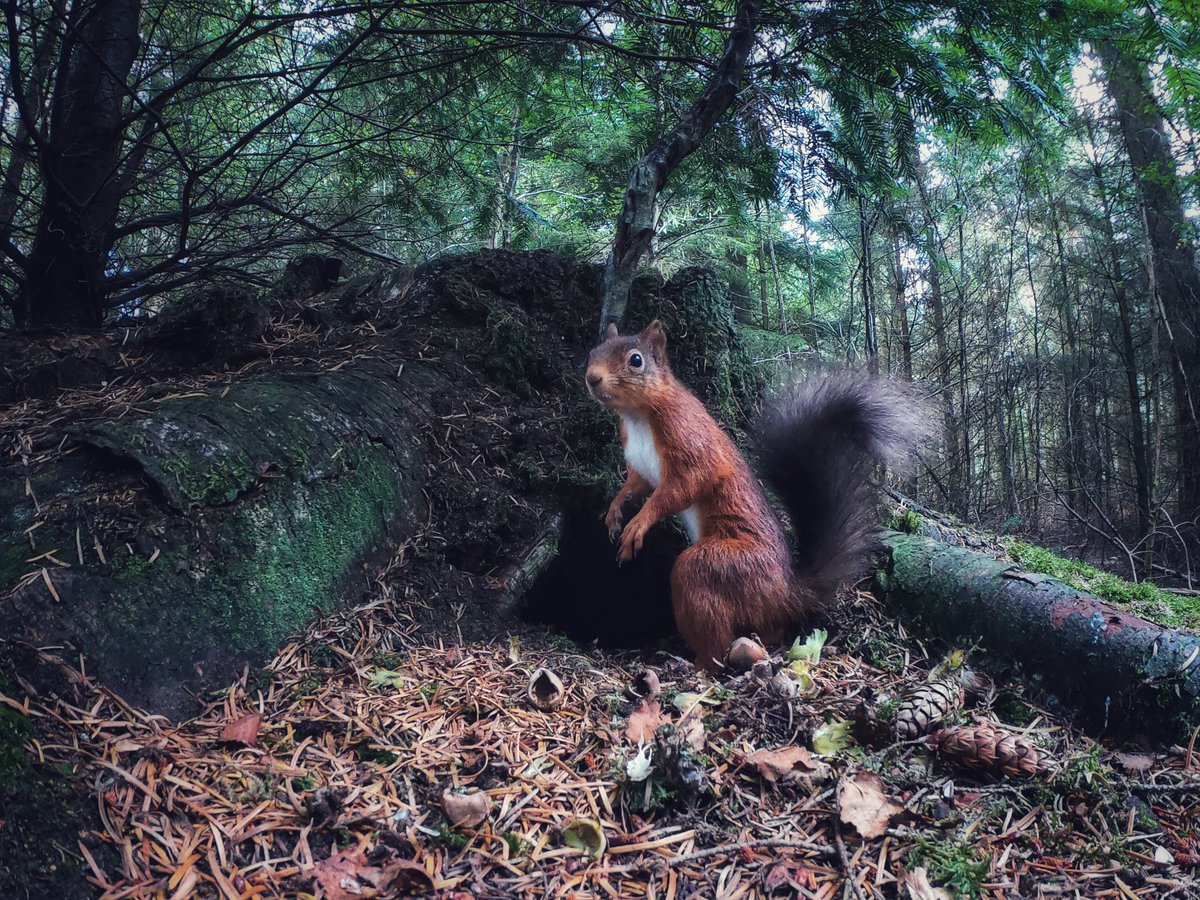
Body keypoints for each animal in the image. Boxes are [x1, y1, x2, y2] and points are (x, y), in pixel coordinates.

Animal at [583, 319, 926, 672]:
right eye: (593, 352)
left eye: (636, 360)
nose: (592, 378)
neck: (637, 416)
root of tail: (786, 594)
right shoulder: (638, 464)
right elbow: (635, 486)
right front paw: (615, 511)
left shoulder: (690, 441)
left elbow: (682, 488)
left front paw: (639, 523)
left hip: (729, 567)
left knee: (712, 626)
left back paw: (696, 662)